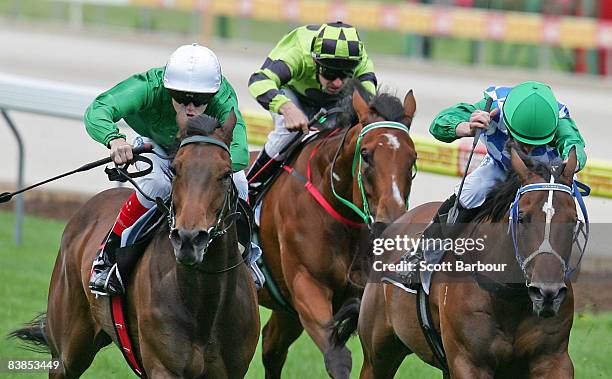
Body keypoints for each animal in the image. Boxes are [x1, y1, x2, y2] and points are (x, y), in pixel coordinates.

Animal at [10, 113, 258, 379]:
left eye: (225, 174)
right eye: (175, 169)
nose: (189, 239)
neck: (205, 305)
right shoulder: (163, 367)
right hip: (68, 352)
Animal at [256, 87, 418, 379]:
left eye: (412, 158)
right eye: (366, 154)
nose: (390, 224)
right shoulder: (307, 285)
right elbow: (338, 359)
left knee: (272, 347)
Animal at [332, 146, 584, 379]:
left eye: (573, 220)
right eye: (522, 217)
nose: (547, 293)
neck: (510, 301)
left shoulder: (553, 359)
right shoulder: (468, 362)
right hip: (378, 354)